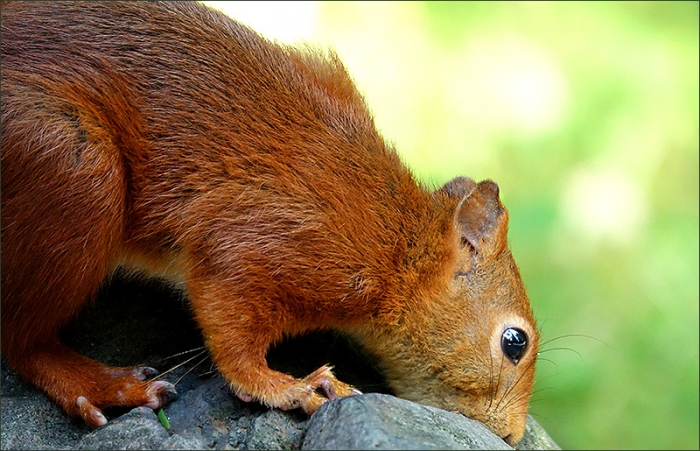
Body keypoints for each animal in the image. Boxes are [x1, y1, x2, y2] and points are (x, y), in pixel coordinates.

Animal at [1, 2, 539, 446]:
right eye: (515, 342)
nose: (512, 435)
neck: (395, 245)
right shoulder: (268, 244)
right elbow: (232, 337)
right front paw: (288, 386)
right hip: (75, 168)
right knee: (21, 343)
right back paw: (102, 385)